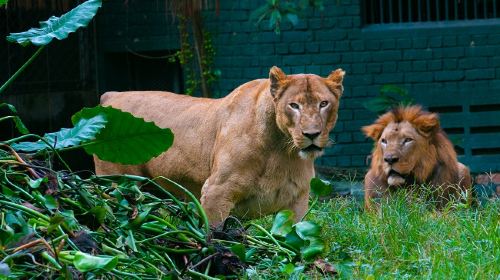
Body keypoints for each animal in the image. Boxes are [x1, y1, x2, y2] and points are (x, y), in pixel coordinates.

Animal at [93, 65, 344, 223]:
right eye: (294, 105)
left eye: (323, 104)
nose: (312, 134)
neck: (282, 150)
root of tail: (111, 95)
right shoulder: (216, 192)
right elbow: (213, 237)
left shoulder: (297, 201)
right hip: (115, 183)